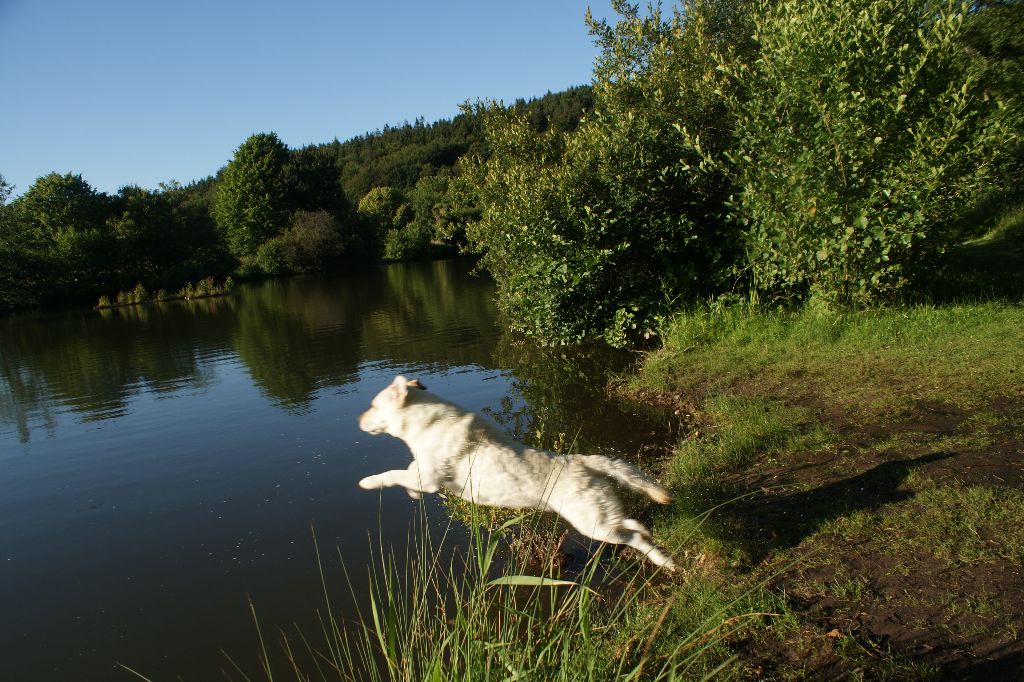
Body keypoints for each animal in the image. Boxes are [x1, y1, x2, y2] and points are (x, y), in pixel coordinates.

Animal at [356, 374, 675, 565]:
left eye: (373, 406)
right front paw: (411, 495)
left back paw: (664, 560)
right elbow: (408, 474)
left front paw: (368, 482)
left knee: (631, 535)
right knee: (632, 525)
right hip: (601, 518)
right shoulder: (421, 472)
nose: (358, 420)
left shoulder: (429, 477)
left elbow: (392, 475)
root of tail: (583, 461)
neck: (426, 423)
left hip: (592, 524)